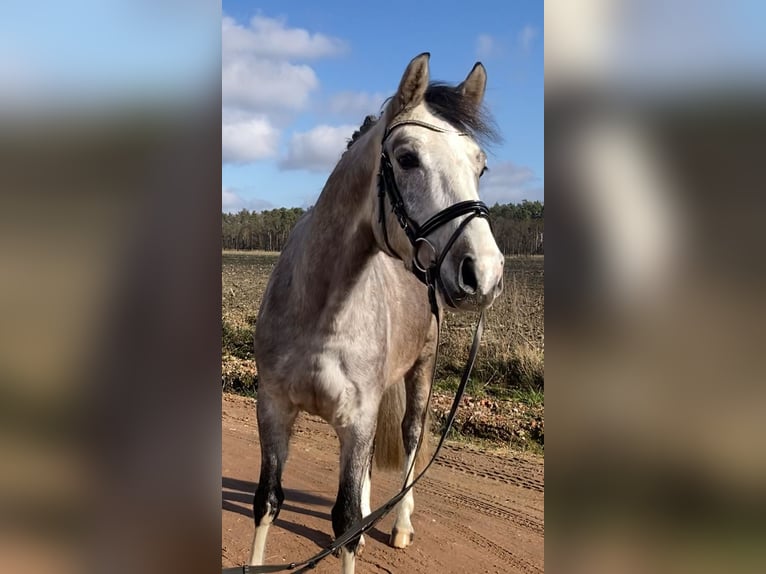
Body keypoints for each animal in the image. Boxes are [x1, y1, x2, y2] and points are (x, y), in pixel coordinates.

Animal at [249, 51, 508, 572]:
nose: (485, 274)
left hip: (420, 373)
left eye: (481, 166)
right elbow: (268, 502)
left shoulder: (359, 419)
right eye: (407, 157)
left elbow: (344, 522)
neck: (321, 310)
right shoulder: (273, 408)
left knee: (411, 437)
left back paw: (399, 525)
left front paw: (366, 530)